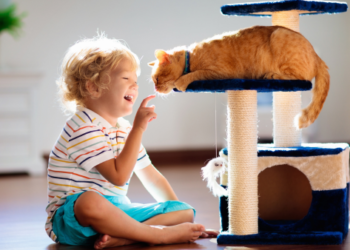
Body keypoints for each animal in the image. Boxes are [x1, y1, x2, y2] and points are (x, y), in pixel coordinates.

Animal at [149, 25, 330, 129]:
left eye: (156, 79)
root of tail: (317, 56)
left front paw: (181, 81)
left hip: (279, 36)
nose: (155, 88)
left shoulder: (220, 72)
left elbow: (195, 74)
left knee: (300, 79)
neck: (191, 57)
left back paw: (271, 74)